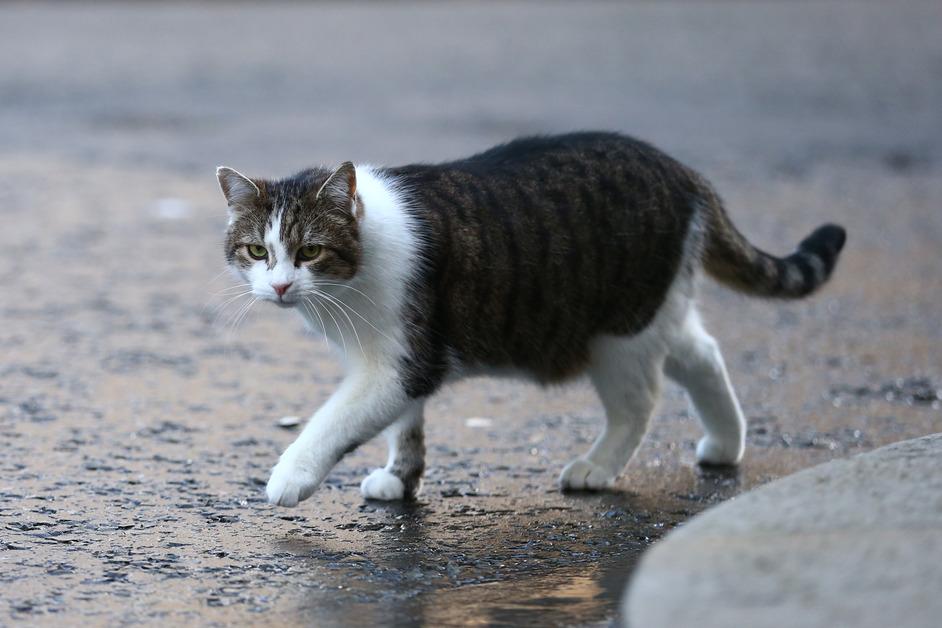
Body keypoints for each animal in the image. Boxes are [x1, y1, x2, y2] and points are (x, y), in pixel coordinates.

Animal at [216, 131, 848, 506]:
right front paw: (400, 477)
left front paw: (290, 476)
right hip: (655, 311)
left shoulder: (403, 361)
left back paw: (597, 466)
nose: (279, 286)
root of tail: (684, 172)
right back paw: (725, 442)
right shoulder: (400, 360)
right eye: (256, 251)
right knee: (702, 353)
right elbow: (406, 425)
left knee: (640, 401)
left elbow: (335, 420)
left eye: (310, 251)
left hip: (618, 332)